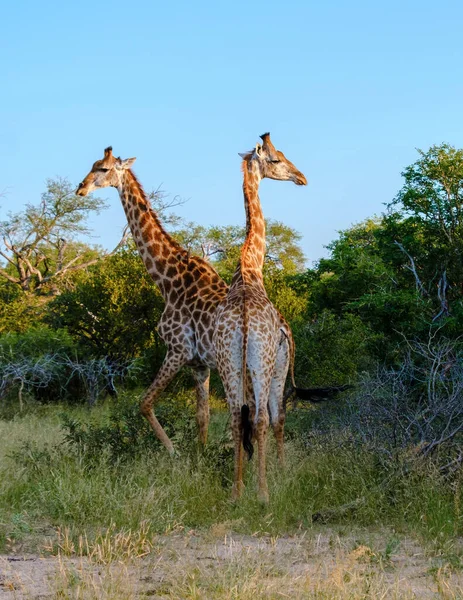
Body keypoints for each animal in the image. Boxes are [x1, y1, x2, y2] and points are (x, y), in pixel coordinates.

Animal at [214, 132, 308, 502]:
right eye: (278, 159)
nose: (301, 177)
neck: (250, 269)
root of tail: (242, 321)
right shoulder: (278, 359)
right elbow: (276, 417)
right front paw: (278, 475)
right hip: (262, 363)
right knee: (264, 418)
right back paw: (264, 492)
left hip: (228, 364)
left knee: (236, 419)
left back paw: (237, 492)